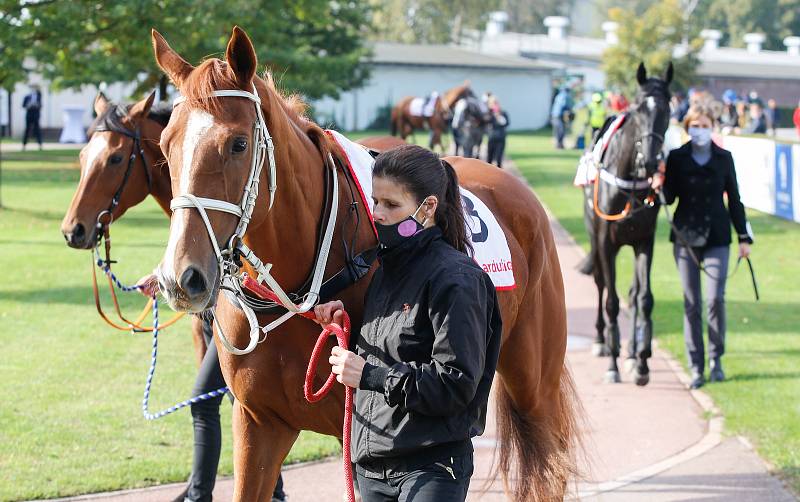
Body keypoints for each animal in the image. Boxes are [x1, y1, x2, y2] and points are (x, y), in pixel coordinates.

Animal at [150, 27, 576, 502]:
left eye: (238, 144)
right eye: (165, 145)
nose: (180, 277)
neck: (304, 285)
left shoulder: (351, 438)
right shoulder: (258, 423)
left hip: (534, 382)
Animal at [584, 61, 672, 384]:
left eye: (667, 108)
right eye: (639, 109)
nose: (650, 162)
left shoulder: (644, 241)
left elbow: (643, 298)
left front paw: (643, 360)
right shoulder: (605, 242)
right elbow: (611, 300)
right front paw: (612, 363)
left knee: (633, 294)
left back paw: (632, 353)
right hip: (594, 236)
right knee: (600, 285)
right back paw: (602, 341)